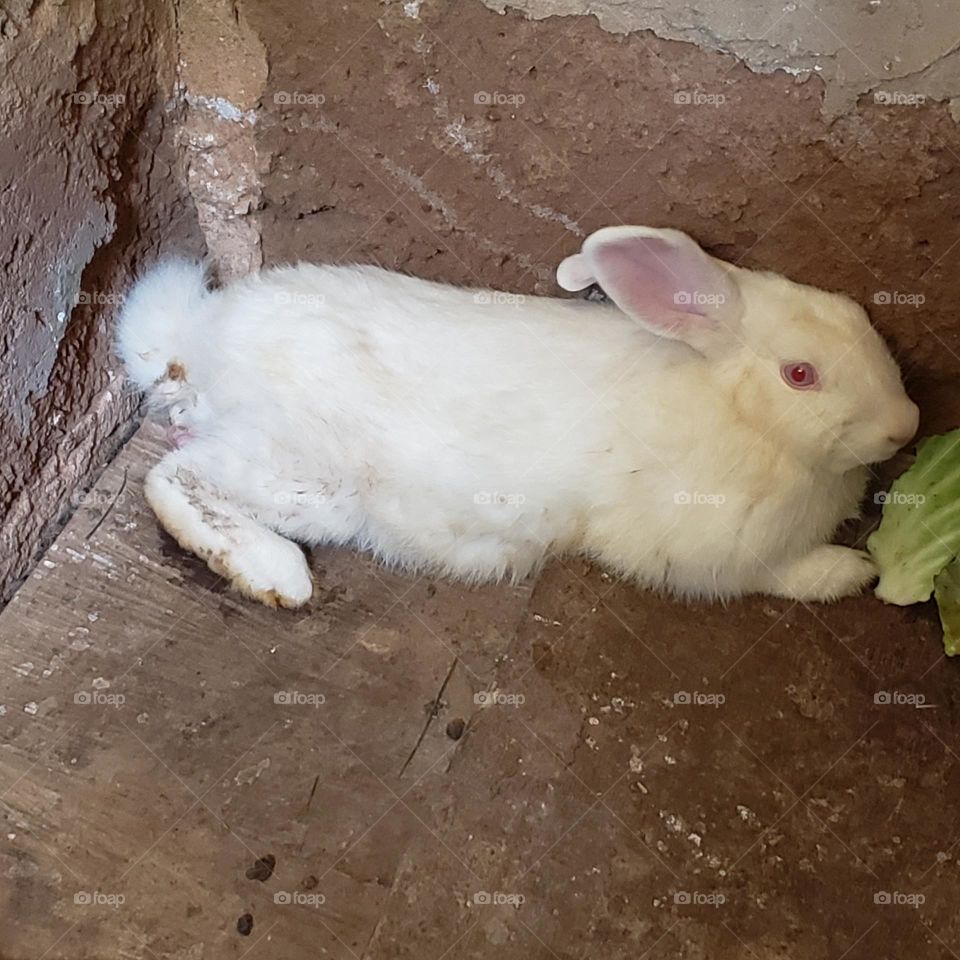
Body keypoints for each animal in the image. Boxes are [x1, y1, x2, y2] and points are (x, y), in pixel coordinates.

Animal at [115, 225, 918, 609]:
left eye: (861, 322)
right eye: (800, 375)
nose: (907, 425)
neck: (744, 419)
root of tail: (198, 340)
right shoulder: (707, 550)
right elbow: (777, 574)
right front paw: (851, 571)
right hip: (306, 474)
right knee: (173, 477)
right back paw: (275, 574)